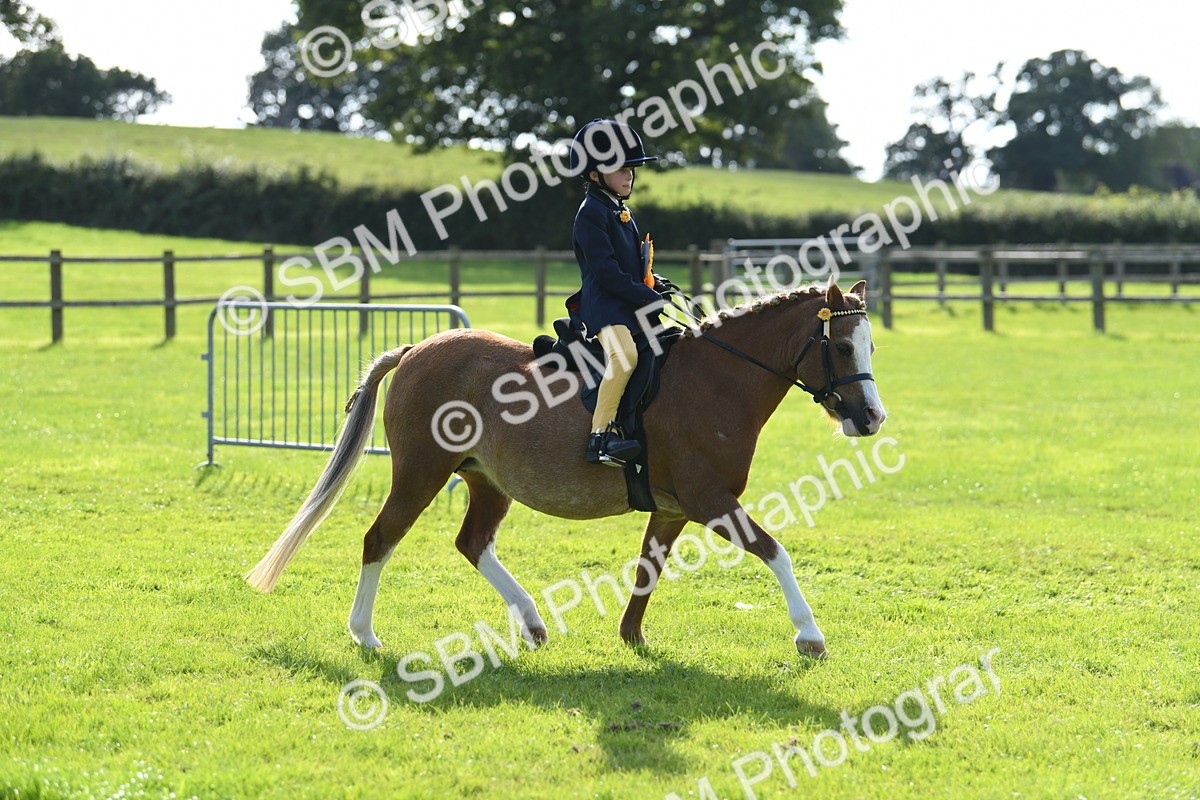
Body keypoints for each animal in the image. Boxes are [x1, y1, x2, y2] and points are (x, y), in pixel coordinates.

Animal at [245, 280, 886, 659]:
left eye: (870, 347)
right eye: (843, 347)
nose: (872, 417)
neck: (716, 378)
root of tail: (416, 349)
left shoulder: (674, 509)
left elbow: (648, 569)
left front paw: (631, 637)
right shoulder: (709, 501)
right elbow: (776, 552)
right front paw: (809, 634)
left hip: (486, 481)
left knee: (471, 543)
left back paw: (531, 624)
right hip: (421, 473)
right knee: (380, 539)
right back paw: (365, 635)